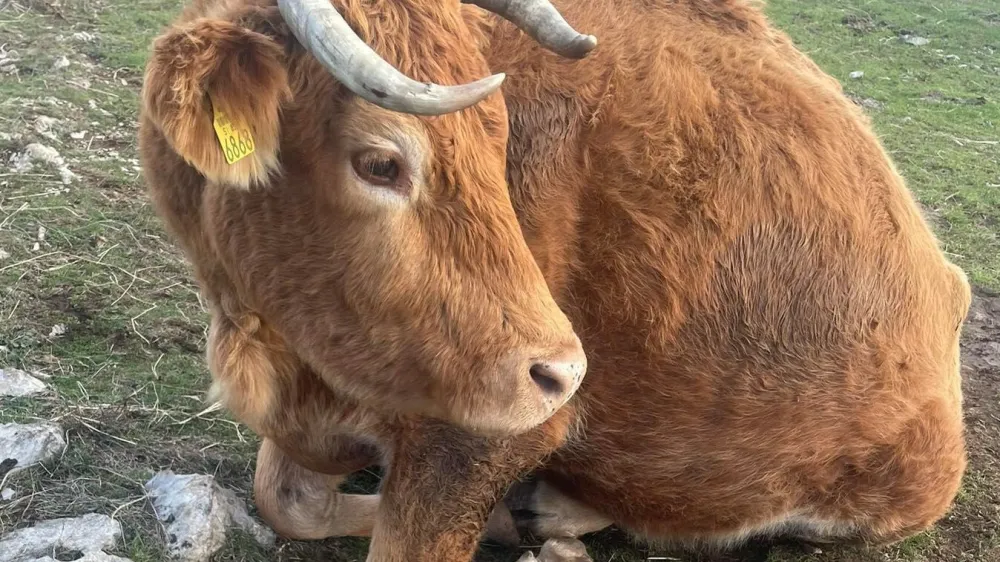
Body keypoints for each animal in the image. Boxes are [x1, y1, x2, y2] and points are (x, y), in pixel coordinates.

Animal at [137, 0, 972, 556]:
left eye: (500, 140)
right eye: (379, 161)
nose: (563, 373)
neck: (282, 354)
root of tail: (948, 283)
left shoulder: (478, 439)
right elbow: (284, 500)